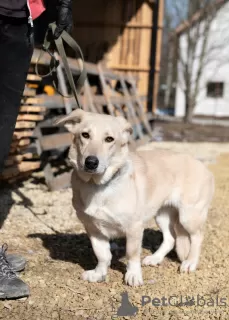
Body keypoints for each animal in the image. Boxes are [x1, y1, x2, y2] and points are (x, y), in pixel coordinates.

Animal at [55, 110, 215, 288]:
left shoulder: (134, 228)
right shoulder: (93, 229)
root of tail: (203, 166)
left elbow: (131, 254)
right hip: (162, 215)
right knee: (170, 238)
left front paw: (133, 275)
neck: (98, 185)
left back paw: (190, 263)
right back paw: (155, 258)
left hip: (189, 216)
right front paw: (99, 273)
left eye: (109, 139)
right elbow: (102, 255)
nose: (91, 162)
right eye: (85, 135)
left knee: (197, 237)